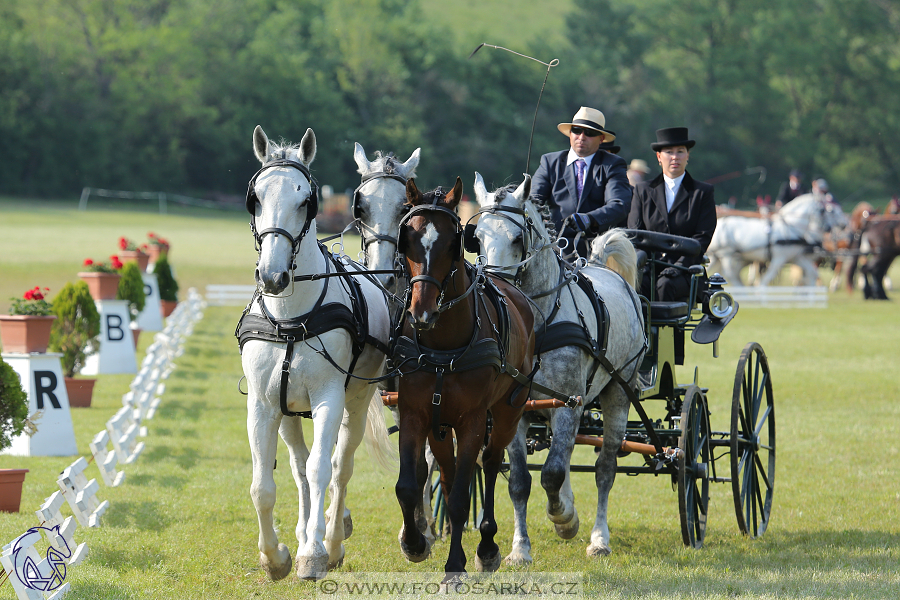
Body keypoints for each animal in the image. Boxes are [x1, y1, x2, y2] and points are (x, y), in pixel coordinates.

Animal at [237, 125, 396, 580]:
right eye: (256, 198)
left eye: (305, 200)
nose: (273, 276)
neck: (291, 317)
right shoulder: (262, 404)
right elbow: (263, 485)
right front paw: (274, 556)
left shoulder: (329, 397)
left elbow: (323, 468)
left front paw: (312, 552)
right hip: (288, 408)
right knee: (298, 464)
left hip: (355, 400)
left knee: (339, 465)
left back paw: (332, 538)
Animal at [394, 177, 536, 576]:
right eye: (408, 239)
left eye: (450, 243)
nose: (421, 313)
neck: (443, 345)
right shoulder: (415, 414)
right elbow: (409, 486)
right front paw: (414, 543)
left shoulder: (472, 420)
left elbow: (460, 496)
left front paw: (455, 565)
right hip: (440, 425)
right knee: (449, 469)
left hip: (508, 411)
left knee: (489, 463)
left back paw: (487, 545)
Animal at [472, 173, 648, 564]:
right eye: (475, 237)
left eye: (517, 238)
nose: (493, 287)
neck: (535, 325)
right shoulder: (514, 409)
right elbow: (520, 482)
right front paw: (520, 549)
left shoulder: (570, 404)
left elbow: (552, 473)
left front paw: (564, 520)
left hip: (617, 393)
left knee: (604, 469)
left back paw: (599, 538)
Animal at [708, 192, 848, 286]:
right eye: (828, 210)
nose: (844, 224)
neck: (792, 227)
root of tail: (720, 222)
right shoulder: (779, 258)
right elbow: (767, 278)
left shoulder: (796, 257)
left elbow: (812, 274)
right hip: (726, 254)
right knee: (730, 273)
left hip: (718, 257)